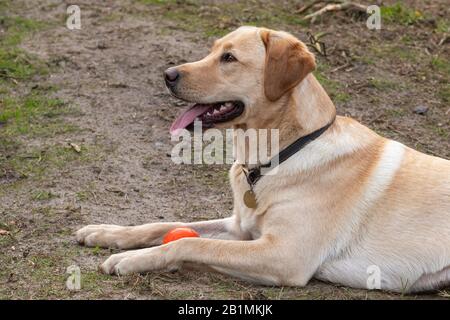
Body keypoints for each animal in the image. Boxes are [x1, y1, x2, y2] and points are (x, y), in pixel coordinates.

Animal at [77, 26, 450, 292]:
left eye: (229, 58)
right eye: (212, 50)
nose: (168, 74)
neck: (279, 154)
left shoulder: (284, 255)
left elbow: (190, 244)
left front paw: (129, 260)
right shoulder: (241, 227)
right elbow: (166, 225)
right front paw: (107, 233)